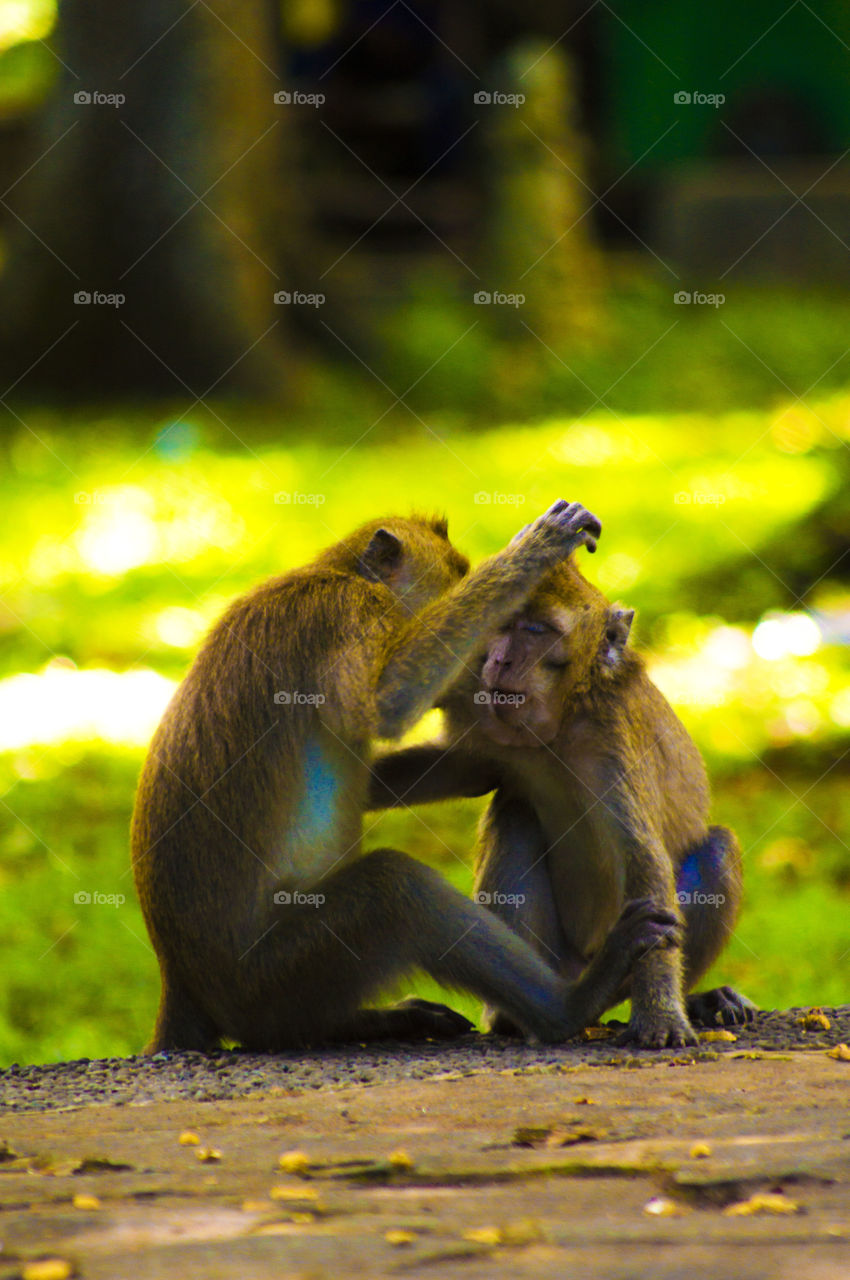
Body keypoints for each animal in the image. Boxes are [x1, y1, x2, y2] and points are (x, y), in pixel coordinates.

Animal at [131, 502, 680, 1053]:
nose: (490, 662)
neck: (338, 573)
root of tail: (180, 980)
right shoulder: (347, 612)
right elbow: (386, 703)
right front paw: (532, 551)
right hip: (269, 978)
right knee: (394, 889)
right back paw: (570, 1006)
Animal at [369, 554, 756, 1049]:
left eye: (538, 630)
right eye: (504, 624)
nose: (498, 658)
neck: (561, 721)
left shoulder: (613, 741)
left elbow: (643, 859)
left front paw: (662, 1016)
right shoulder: (486, 714)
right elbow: (461, 772)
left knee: (717, 849)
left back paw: (689, 998)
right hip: (553, 957)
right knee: (516, 814)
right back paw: (525, 1012)